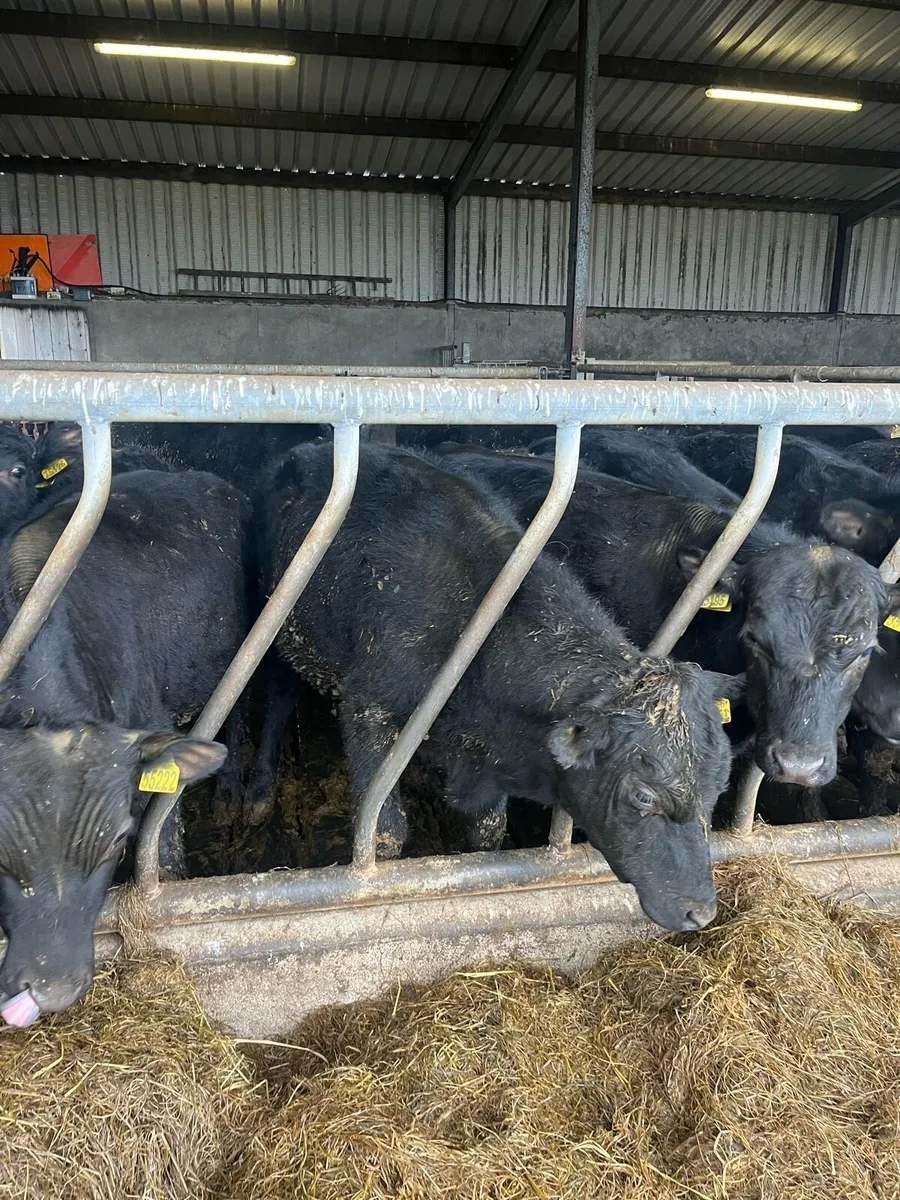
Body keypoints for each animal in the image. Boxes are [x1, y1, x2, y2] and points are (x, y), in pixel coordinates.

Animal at [258, 442, 742, 934]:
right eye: (644, 796)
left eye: (719, 787)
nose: (701, 911)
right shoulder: (368, 708)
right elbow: (385, 834)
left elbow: (488, 831)